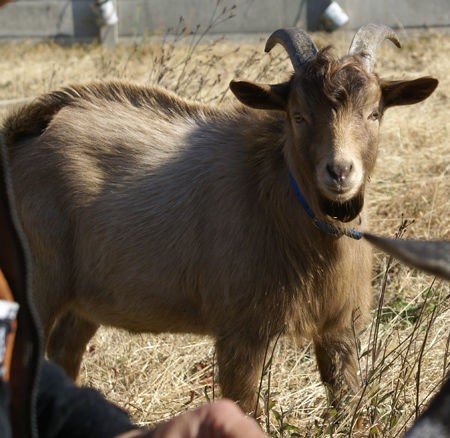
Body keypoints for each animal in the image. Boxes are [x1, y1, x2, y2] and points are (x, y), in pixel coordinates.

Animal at [0, 24, 436, 414]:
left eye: (374, 113)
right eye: (297, 115)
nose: (340, 172)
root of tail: (17, 136)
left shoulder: (338, 326)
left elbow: (348, 407)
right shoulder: (240, 331)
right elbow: (243, 409)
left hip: (85, 300)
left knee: (63, 355)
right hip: (39, 284)